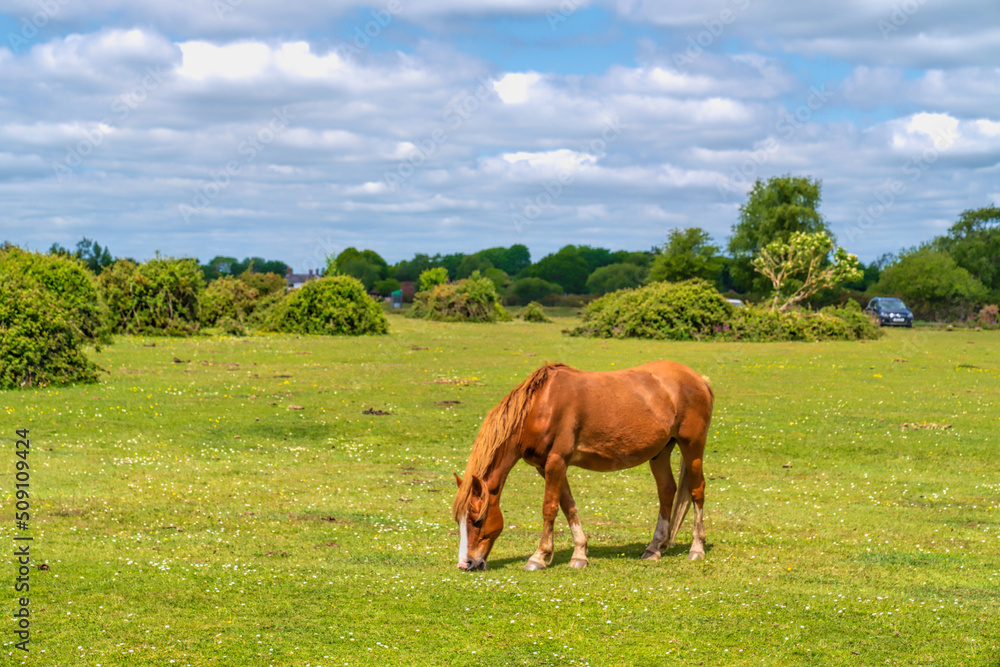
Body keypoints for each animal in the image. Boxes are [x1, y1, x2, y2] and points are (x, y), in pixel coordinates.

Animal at [452, 360, 714, 571]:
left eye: (477, 520)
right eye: (459, 521)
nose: (466, 563)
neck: (540, 406)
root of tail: (698, 378)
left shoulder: (556, 461)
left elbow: (549, 508)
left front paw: (538, 557)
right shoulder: (546, 466)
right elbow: (568, 506)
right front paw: (579, 554)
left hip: (692, 446)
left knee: (697, 491)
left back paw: (696, 549)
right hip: (660, 452)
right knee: (667, 491)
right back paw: (654, 548)